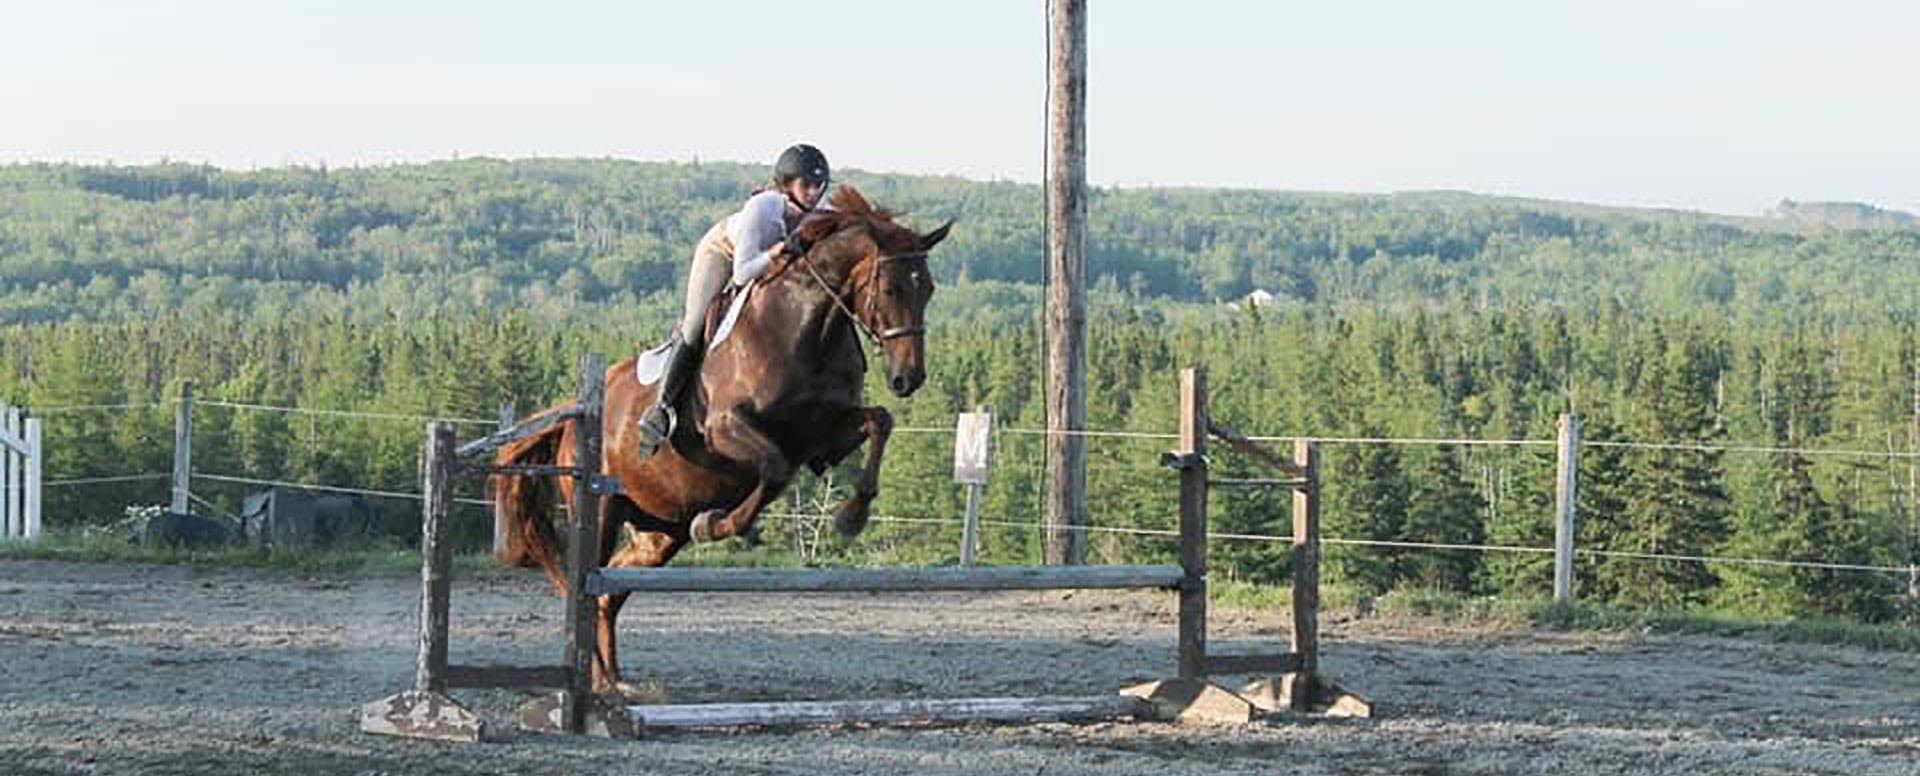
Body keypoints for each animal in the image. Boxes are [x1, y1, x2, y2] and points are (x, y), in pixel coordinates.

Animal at [491, 185, 948, 695]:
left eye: (928, 290)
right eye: (891, 289)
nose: (909, 378)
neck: (807, 325)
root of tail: (575, 415)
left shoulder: (822, 435)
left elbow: (879, 422)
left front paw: (852, 515)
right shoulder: (725, 429)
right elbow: (774, 470)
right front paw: (715, 525)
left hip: (658, 533)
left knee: (609, 593)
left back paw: (615, 683)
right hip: (604, 508)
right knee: (589, 584)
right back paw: (600, 681)